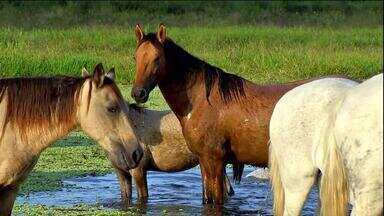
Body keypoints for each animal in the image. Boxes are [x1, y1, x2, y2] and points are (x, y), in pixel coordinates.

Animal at [130, 24, 316, 205]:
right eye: (135, 58)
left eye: (157, 58)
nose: (138, 93)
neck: (200, 101)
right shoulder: (204, 162)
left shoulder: (215, 161)